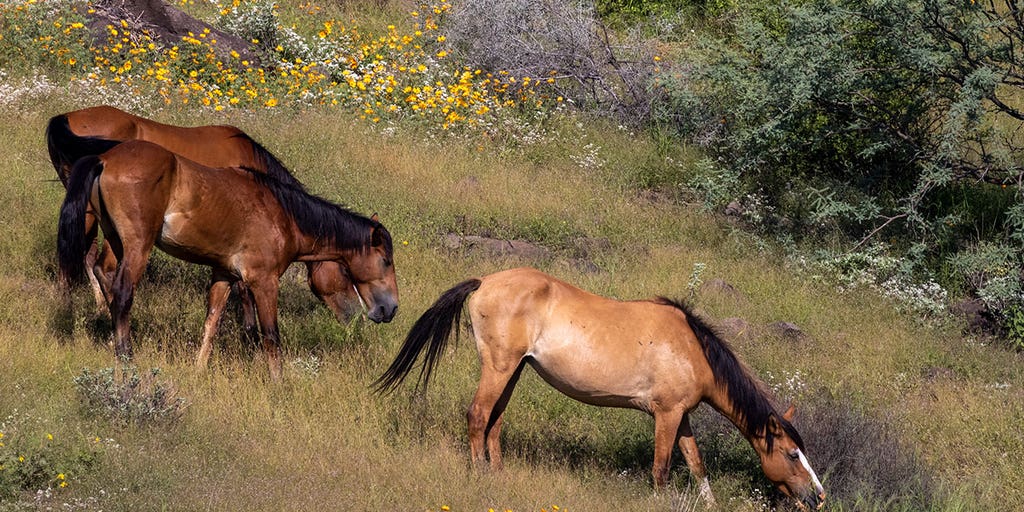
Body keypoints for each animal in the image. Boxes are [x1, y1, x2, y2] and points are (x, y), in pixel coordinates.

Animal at [57, 140, 399, 379]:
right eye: (385, 261)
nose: (389, 309)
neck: (283, 214)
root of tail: (105, 159)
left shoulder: (224, 275)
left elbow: (212, 324)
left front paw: (198, 370)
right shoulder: (263, 282)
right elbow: (271, 335)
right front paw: (279, 383)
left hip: (116, 242)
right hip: (137, 248)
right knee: (123, 294)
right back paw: (126, 357)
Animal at [375, 267, 825, 510]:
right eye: (792, 453)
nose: (818, 497)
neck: (691, 348)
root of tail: (484, 281)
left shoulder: (680, 416)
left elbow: (696, 464)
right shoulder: (666, 415)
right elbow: (662, 469)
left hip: (513, 371)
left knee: (495, 422)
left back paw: (499, 474)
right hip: (499, 368)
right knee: (478, 416)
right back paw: (480, 476)